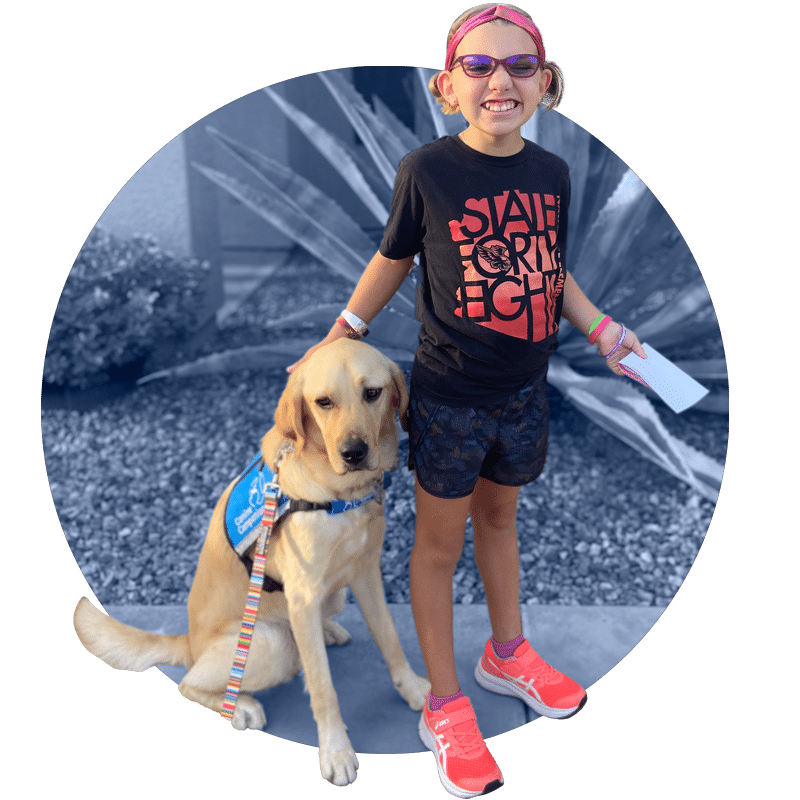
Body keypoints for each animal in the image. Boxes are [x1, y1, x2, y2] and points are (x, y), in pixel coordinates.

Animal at [73, 340, 432, 784]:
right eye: (323, 402)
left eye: (373, 393)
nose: (353, 453)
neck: (338, 493)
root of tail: (190, 641)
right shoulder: (303, 594)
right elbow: (323, 686)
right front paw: (336, 752)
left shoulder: (366, 573)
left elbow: (391, 639)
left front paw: (413, 690)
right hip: (273, 643)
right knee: (190, 683)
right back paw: (240, 705)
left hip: (330, 598)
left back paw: (328, 630)